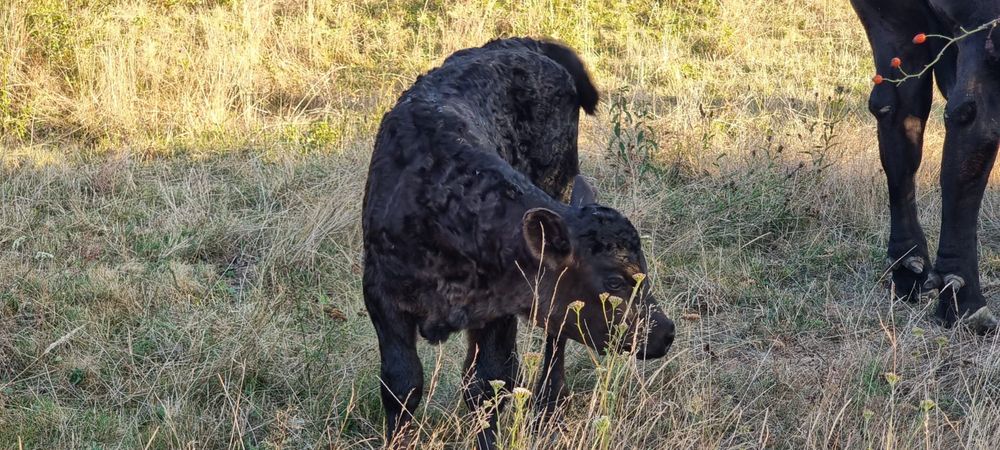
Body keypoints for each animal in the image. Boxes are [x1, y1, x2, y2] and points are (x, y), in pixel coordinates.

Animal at [361, 38, 675, 449]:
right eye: (614, 281)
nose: (666, 332)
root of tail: (522, 43)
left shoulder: (500, 309)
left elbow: (488, 383)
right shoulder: (381, 294)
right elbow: (403, 383)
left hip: (561, 182)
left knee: (555, 340)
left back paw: (550, 403)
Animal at [851, 0, 1000, 332]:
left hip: (891, 24)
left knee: (896, 113)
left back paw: (910, 269)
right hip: (985, 29)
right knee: (974, 124)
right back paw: (965, 304)